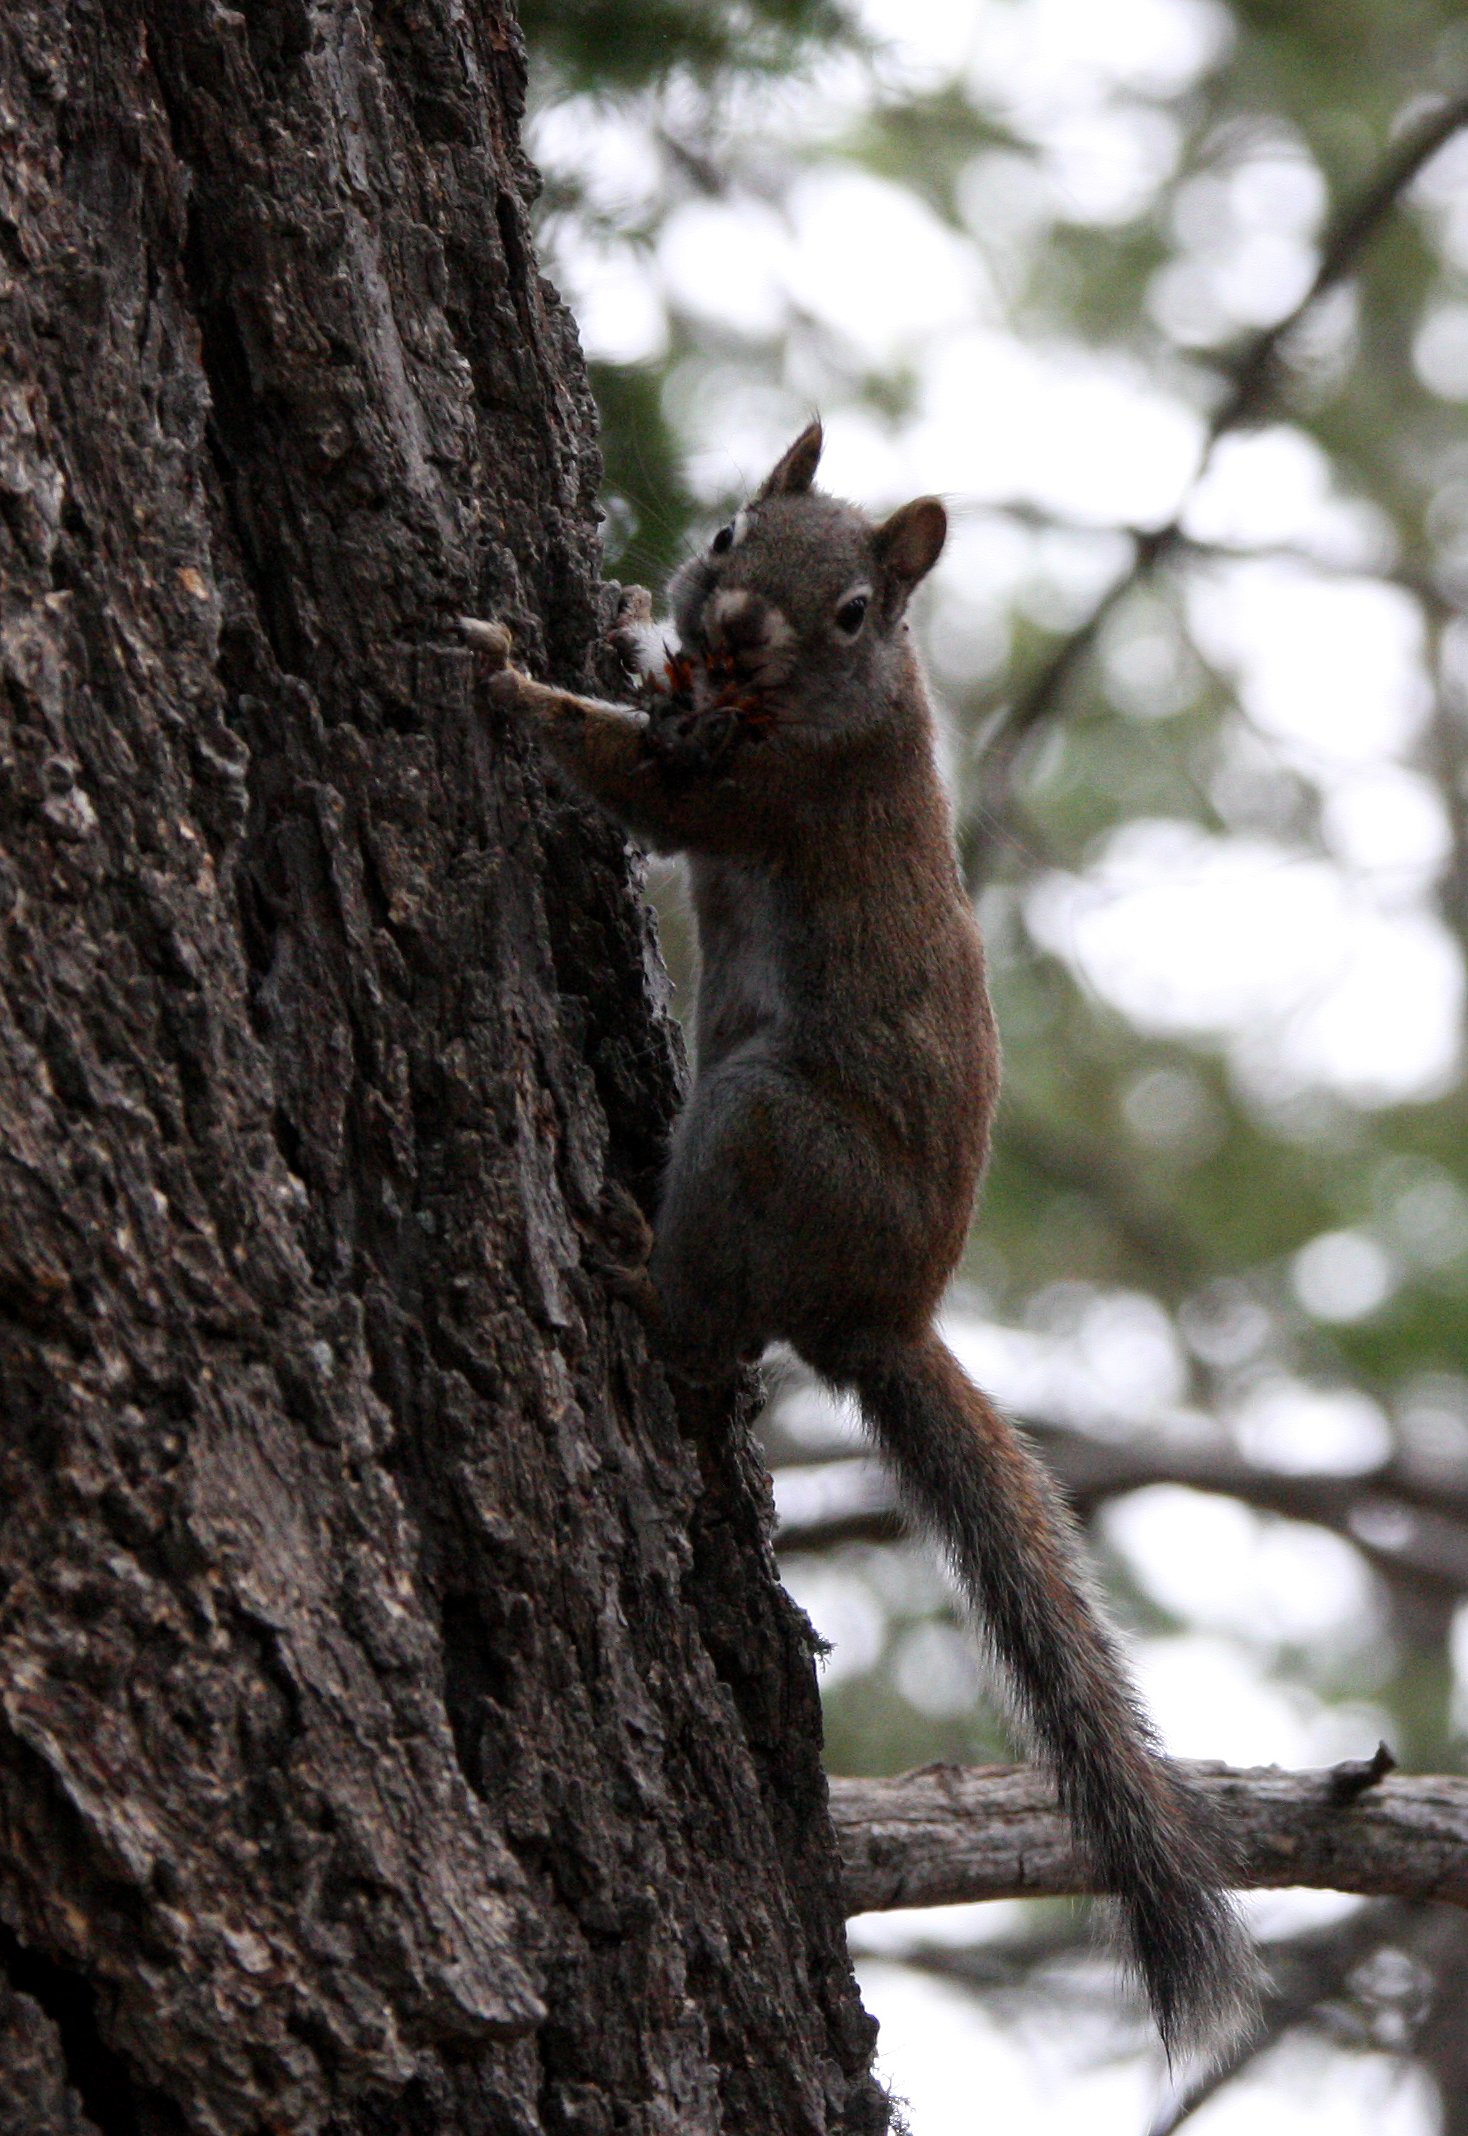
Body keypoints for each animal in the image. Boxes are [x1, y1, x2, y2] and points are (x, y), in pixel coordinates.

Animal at [463, 420, 1255, 2062]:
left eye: (851, 612)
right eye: (725, 529)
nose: (731, 618)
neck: (862, 698)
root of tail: (885, 1309)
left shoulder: (765, 788)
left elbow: (631, 782)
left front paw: (508, 676)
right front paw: (617, 612)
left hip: (763, 1132)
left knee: (714, 1333)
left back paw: (632, 1276)